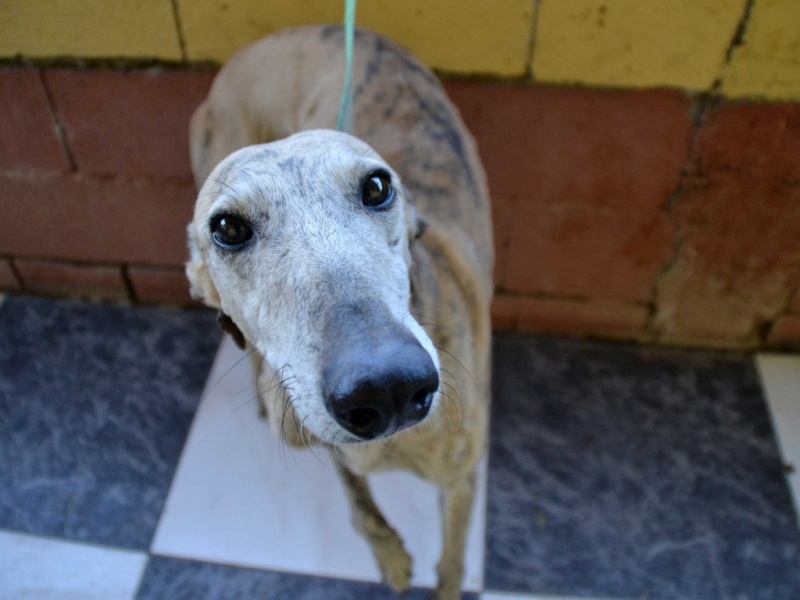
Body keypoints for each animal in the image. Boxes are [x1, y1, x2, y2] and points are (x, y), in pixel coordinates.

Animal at [187, 27, 494, 600]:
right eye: (228, 227)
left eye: (377, 186)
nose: (388, 388)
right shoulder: (317, 427)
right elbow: (356, 499)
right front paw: (389, 554)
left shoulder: (463, 481)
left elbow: (451, 567)